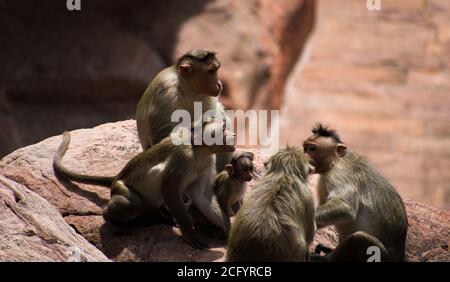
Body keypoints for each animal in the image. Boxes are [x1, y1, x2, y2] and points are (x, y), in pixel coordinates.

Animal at [53, 121, 236, 249]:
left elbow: (201, 195)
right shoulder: (183, 156)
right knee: (134, 204)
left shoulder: (208, 160)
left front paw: (228, 231)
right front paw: (190, 234)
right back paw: (110, 218)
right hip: (122, 188)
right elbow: (169, 189)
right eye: (224, 128)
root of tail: (117, 176)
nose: (233, 134)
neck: (198, 151)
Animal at [302, 124, 408, 262]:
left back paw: (327, 259)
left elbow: (345, 208)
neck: (335, 161)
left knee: (360, 238)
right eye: (305, 148)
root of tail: (400, 256)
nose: (303, 155)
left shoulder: (340, 173)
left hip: (384, 256)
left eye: (312, 149)